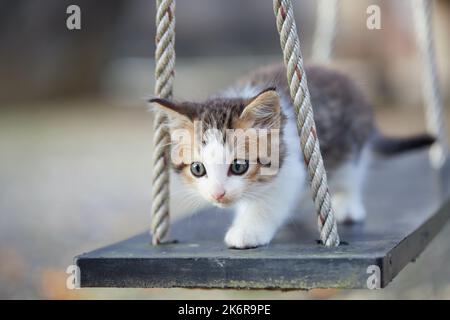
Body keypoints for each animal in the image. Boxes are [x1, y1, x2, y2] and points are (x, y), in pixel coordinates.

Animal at [150, 64, 432, 250]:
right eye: (198, 169)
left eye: (239, 166)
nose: (218, 194)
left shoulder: (293, 170)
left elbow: (268, 202)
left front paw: (247, 230)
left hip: (351, 146)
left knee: (352, 175)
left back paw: (348, 206)